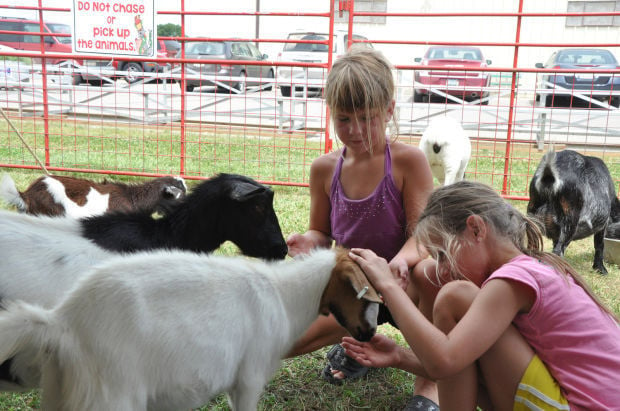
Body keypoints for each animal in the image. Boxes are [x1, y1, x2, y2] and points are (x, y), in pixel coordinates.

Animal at [0, 248, 378, 411]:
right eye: (361, 291)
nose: (370, 334)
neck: (285, 296)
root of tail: (63, 321)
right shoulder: (249, 377)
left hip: (67, 393)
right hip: (112, 396)